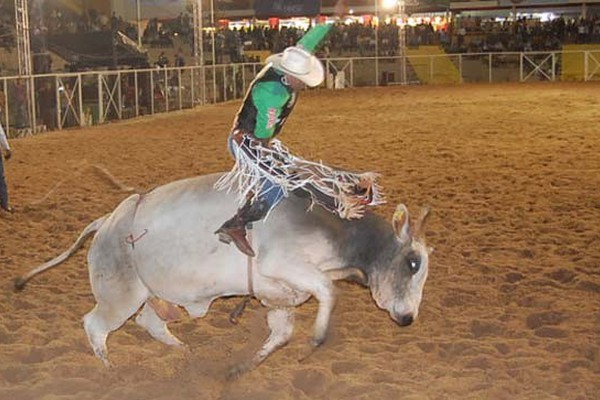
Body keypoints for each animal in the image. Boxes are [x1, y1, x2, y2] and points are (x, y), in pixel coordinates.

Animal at [15, 173, 432, 376]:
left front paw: (239, 368)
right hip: (120, 296)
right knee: (95, 325)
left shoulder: (280, 295)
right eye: (413, 262)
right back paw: (110, 371)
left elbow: (281, 334)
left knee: (150, 324)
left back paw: (184, 352)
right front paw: (316, 340)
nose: (408, 318)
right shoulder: (283, 265)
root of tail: (107, 221)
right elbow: (330, 291)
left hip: (150, 295)